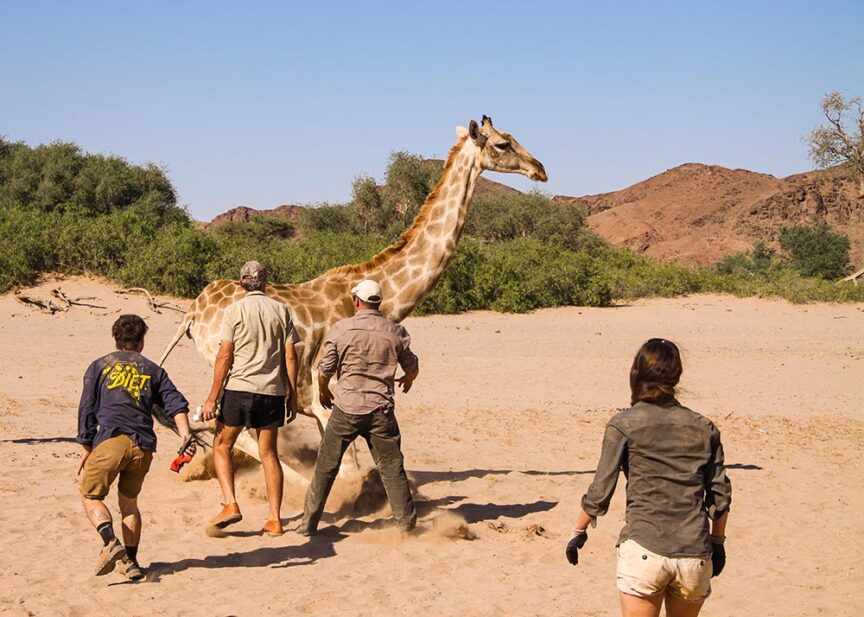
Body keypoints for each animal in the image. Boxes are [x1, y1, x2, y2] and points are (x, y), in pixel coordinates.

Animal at [159, 116, 547, 481]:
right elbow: (347, 469)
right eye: (502, 143)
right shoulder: (325, 398)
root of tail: (192, 314)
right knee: (229, 432)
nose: (540, 169)